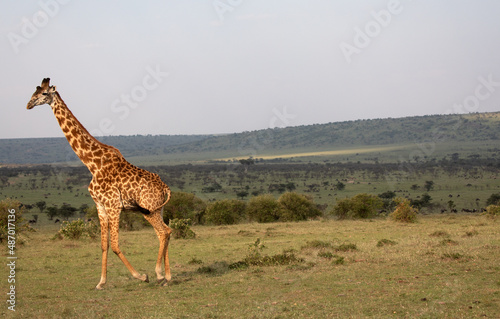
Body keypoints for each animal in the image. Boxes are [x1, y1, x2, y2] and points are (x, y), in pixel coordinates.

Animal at [27, 78, 173, 290]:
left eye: (45, 93)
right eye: (34, 91)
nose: (28, 104)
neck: (92, 164)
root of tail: (165, 187)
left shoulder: (113, 206)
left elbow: (116, 245)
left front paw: (141, 276)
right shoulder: (100, 206)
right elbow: (104, 245)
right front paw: (101, 282)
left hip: (149, 210)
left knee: (163, 232)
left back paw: (159, 274)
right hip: (157, 209)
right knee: (166, 232)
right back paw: (168, 276)